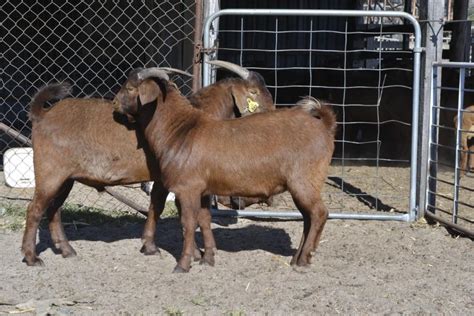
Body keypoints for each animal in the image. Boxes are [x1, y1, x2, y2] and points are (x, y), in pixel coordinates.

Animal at [21, 63, 274, 266]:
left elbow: (157, 207)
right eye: (253, 93)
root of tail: (42, 115)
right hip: (50, 172)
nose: (272, 114)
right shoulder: (175, 179)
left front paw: (151, 246)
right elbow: (172, 210)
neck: (191, 118)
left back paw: (66, 249)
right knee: (35, 209)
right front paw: (189, 253)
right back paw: (32, 257)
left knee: (53, 209)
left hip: (66, 178)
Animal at [114, 68, 336, 272]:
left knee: (319, 213)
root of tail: (324, 125)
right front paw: (207, 258)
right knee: (308, 217)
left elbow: (187, 223)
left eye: (130, 88)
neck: (180, 131)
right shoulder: (203, 190)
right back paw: (298, 258)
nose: (115, 105)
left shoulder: (187, 188)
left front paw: (183, 264)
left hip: (304, 180)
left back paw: (303, 259)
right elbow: (204, 219)